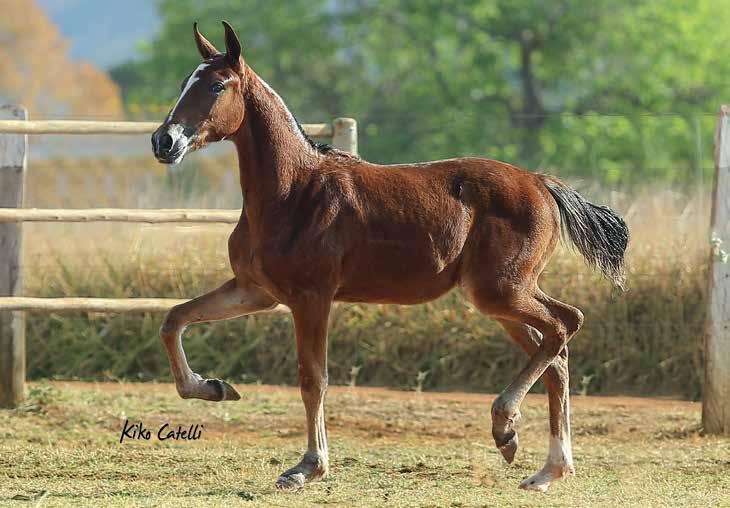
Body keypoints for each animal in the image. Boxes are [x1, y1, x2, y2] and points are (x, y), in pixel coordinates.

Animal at [149, 20, 624, 492]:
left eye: (216, 85)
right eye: (184, 81)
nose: (163, 141)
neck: (292, 192)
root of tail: (542, 182)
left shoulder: (311, 297)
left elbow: (312, 378)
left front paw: (307, 466)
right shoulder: (256, 291)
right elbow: (175, 319)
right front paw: (212, 387)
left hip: (502, 289)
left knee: (564, 324)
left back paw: (507, 426)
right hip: (499, 298)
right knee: (555, 356)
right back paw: (545, 468)